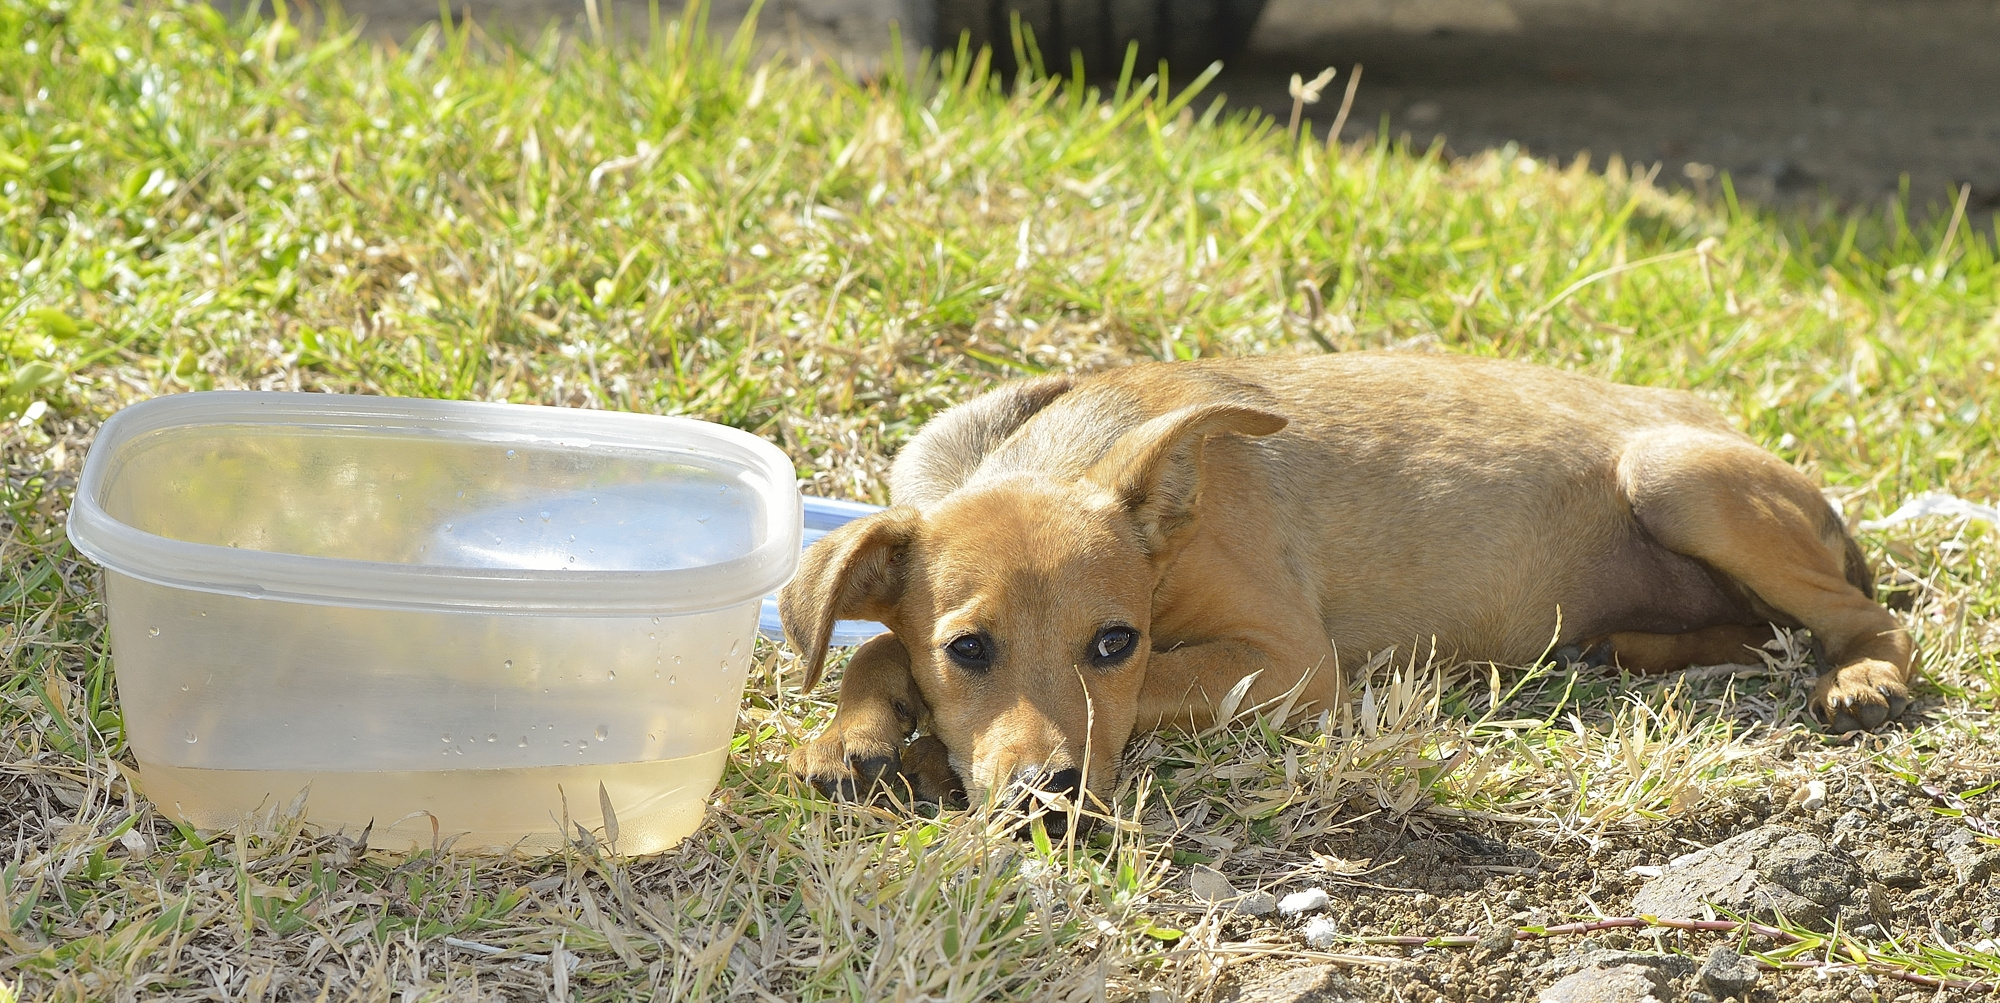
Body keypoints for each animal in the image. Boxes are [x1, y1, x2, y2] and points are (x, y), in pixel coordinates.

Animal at [772, 351, 1912, 815]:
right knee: (1747, 628)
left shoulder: (1286, 660)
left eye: (1112, 642)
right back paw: (1624, 646)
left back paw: (1862, 678)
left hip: (1678, 480)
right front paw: (854, 733)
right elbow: (879, 640)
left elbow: (1143, 693)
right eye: (968, 648)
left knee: (1870, 617)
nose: (1048, 799)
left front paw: (916, 742)